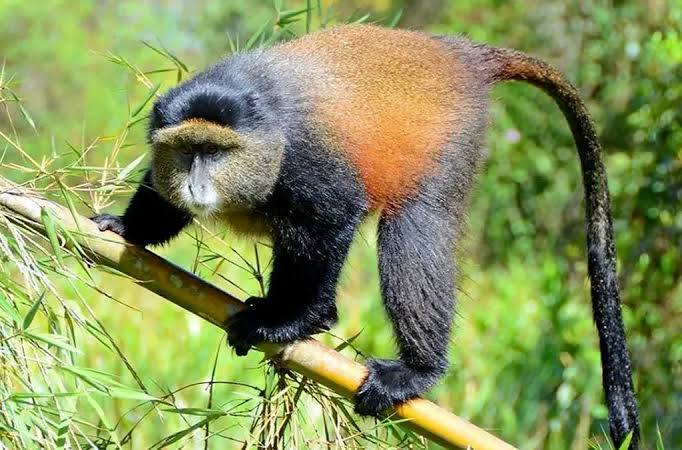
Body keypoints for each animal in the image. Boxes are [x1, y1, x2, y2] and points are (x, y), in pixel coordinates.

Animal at [92, 25, 640, 448]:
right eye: (188, 151)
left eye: (216, 151)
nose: (196, 184)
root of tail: (460, 54)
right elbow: (160, 198)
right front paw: (125, 228)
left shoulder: (308, 161)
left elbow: (332, 218)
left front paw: (293, 322)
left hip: (446, 142)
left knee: (413, 229)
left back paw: (416, 370)